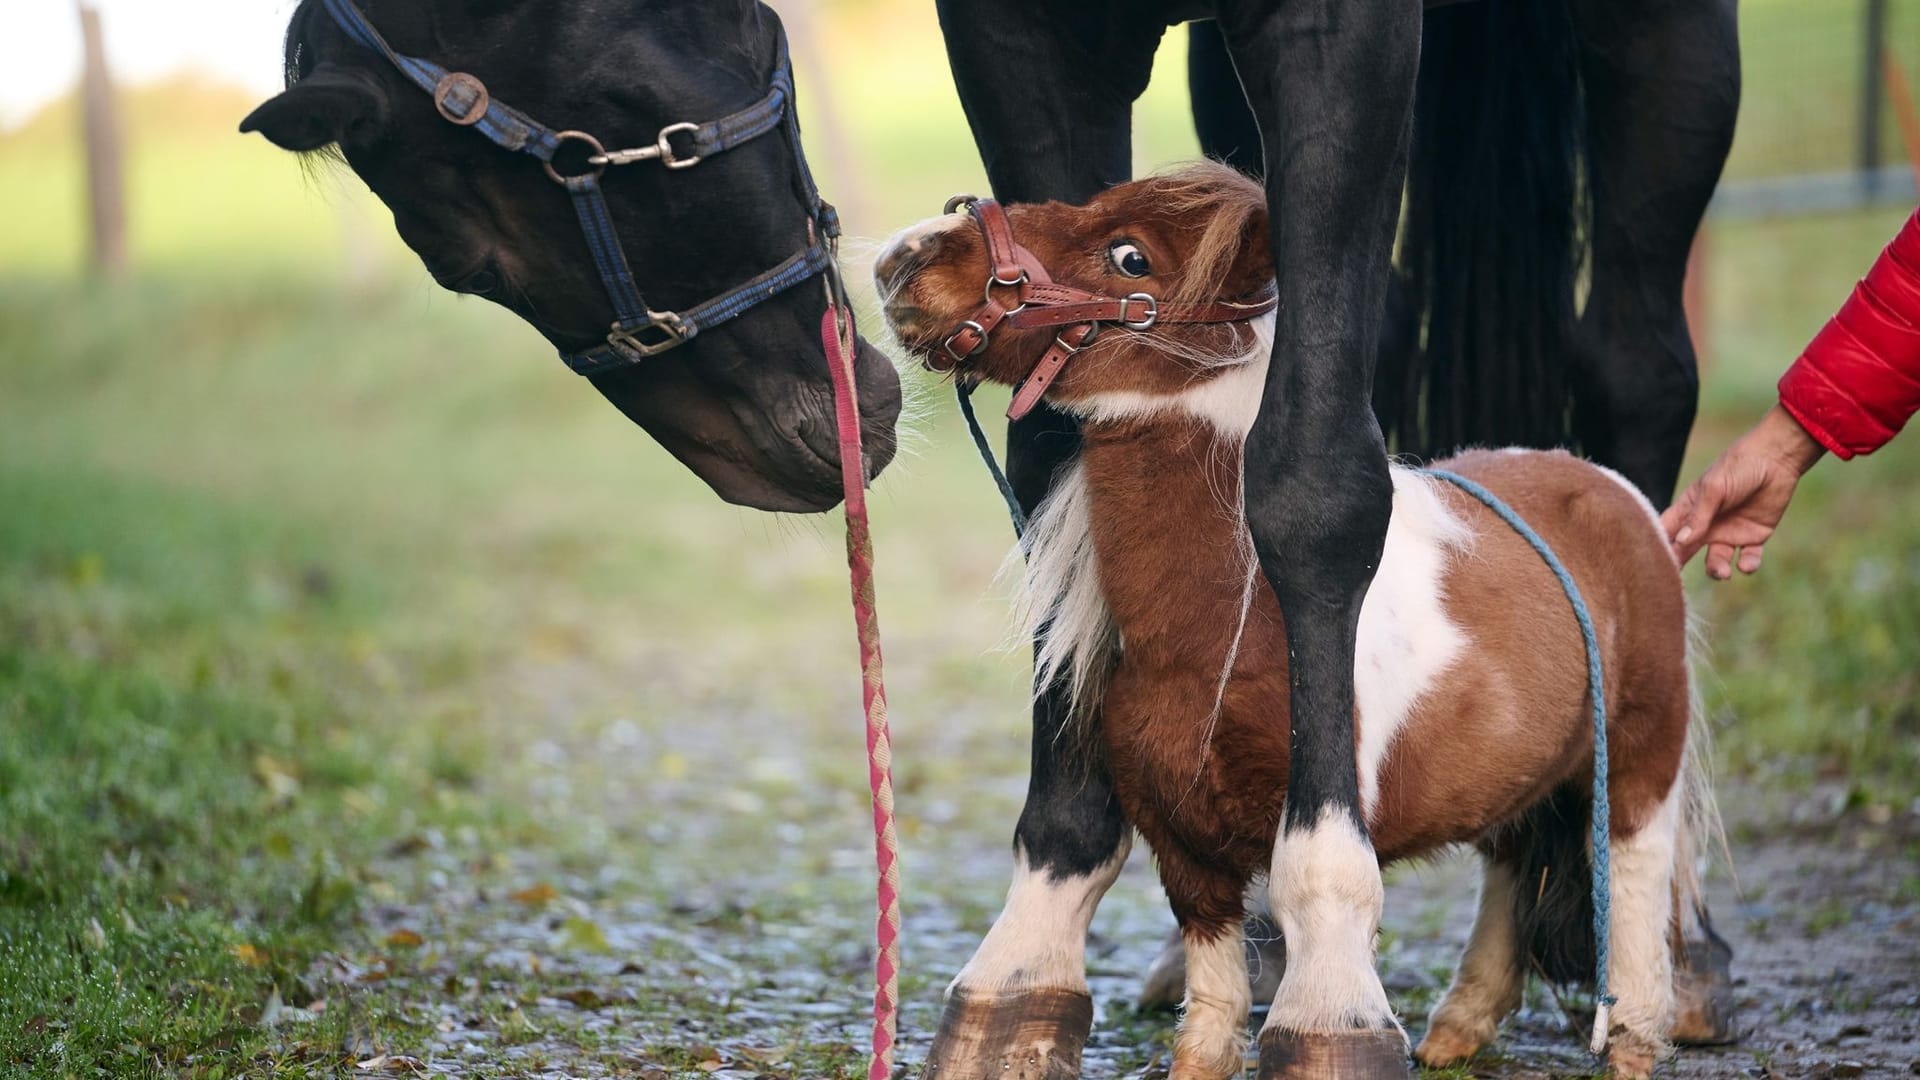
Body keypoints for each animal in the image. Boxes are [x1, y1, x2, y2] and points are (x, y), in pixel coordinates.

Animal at [925, 2, 1743, 1076]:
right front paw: (1020, 986)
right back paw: (1462, 1018)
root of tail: (1606, 496)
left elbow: (1317, 478)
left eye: (1130, 257)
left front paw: (1330, 1008)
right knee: (1519, 843)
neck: (1217, 633)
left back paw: (1658, 998)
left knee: (1639, 367)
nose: (911, 258)